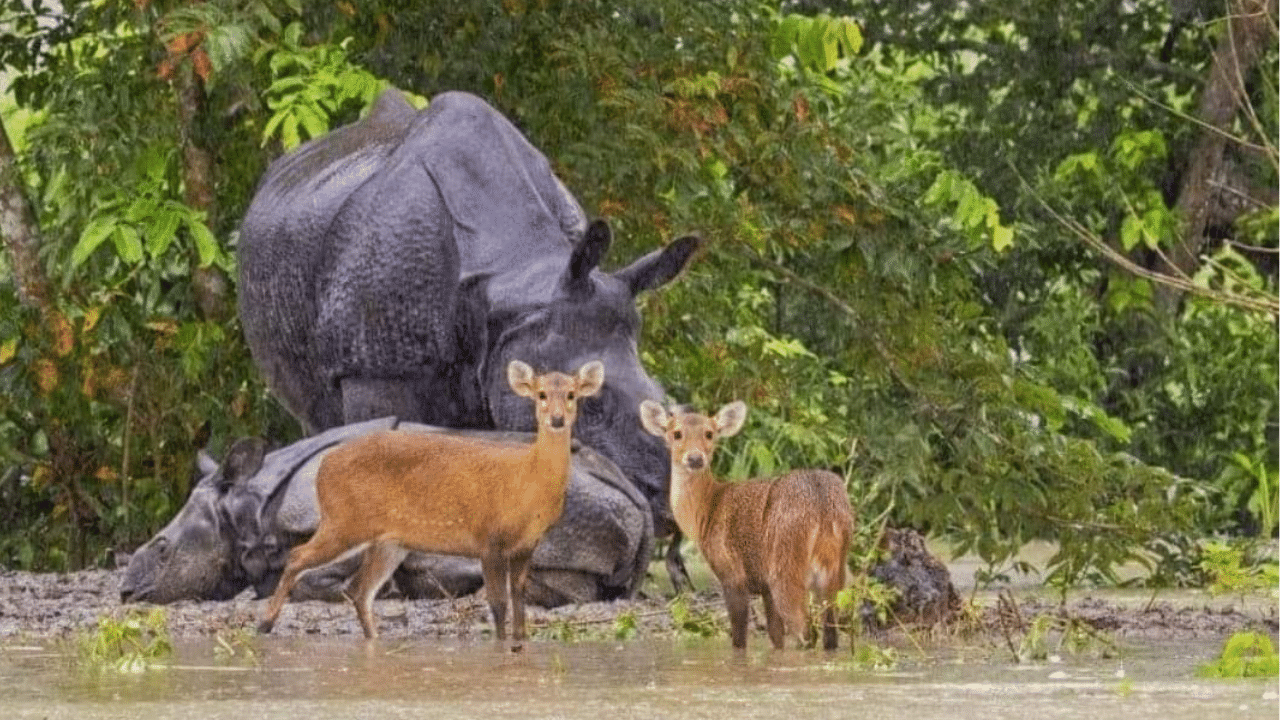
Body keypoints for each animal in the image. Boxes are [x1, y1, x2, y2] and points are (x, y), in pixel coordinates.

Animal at [257, 358, 606, 638]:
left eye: (572, 394)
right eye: (541, 394)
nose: (557, 420)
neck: (527, 483)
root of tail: (323, 466)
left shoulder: (527, 544)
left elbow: (519, 603)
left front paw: (519, 645)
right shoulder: (488, 537)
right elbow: (498, 604)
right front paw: (501, 647)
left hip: (388, 541)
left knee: (359, 589)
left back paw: (373, 640)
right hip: (343, 520)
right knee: (297, 556)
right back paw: (265, 624)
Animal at [637, 399, 849, 648]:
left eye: (709, 433)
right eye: (676, 433)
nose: (695, 458)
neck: (707, 510)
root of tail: (822, 505)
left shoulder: (732, 573)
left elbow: (739, 638)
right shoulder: (765, 588)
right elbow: (775, 636)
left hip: (786, 567)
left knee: (804, 633)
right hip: (834, 573)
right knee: (830, 636)